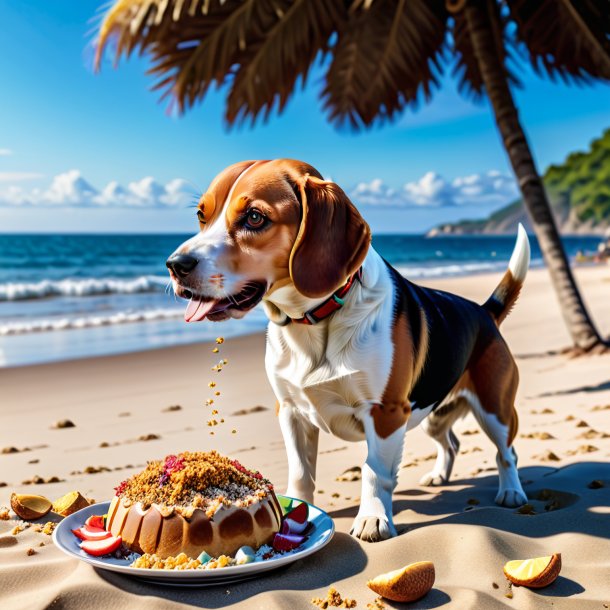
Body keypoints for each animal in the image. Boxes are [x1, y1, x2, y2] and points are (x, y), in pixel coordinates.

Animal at [165, 158, 528, 540]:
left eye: (254, 217)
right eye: (201, 215)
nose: (175, 265)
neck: (312, 321)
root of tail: (484, 311)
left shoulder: (386, 413)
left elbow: (374, 471)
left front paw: (373, 519)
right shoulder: (290, 410)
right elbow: (301, 473)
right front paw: (299, 514)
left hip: (494, 409)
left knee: (507, 453)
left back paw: (511, 491)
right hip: (431, 410)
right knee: (451, 442)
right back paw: (438, 475)